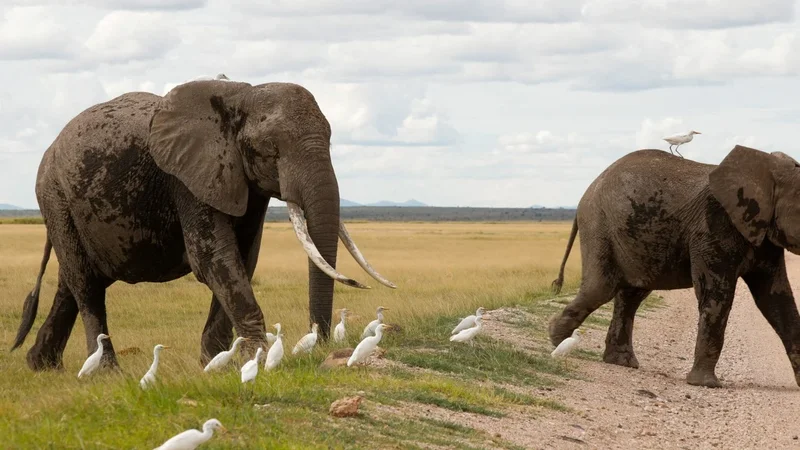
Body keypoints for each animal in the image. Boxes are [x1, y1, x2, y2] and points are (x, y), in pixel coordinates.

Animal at [10, 78, 396, 372]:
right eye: (270, 149)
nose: (322, 344)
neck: (240, 96)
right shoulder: (187, 179)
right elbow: (213, 258)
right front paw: (252, 359)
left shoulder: (242, 181)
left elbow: (242, 258)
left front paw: (215, 364)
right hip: (54, 195)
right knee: (86, 284)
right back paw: (105, 373)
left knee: (72, 282)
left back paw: (41, 366)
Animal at [549, 145, 800, 388]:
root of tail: (587, 192)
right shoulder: (712, 226)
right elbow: (716, 296)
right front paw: (706, 385)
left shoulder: (765, 237)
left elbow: (776, 299)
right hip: (599, 225)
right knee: (601, 288)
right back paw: (557, 339)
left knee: (631, 294)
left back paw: (620, 361)